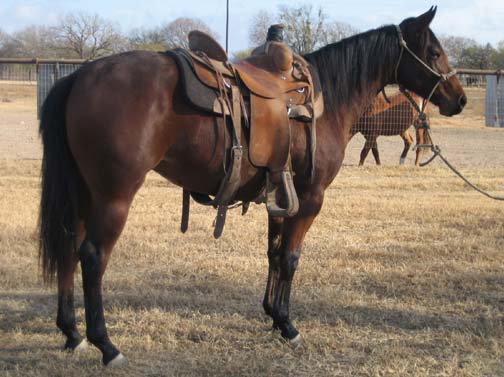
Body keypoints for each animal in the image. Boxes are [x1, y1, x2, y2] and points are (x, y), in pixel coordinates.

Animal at [38, 7, 464, 366]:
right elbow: (291, 258)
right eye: (434, 50)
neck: (325, 98)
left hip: (83, 194)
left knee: (69, 247)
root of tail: (81, 75)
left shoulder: (281, 195)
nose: (458, 98)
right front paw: (289, 326)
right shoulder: (310, 198)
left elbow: (273, 254)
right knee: (93, 257)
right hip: (113, 197)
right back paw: (106, 345)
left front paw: (273, 315)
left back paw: (72, 333)